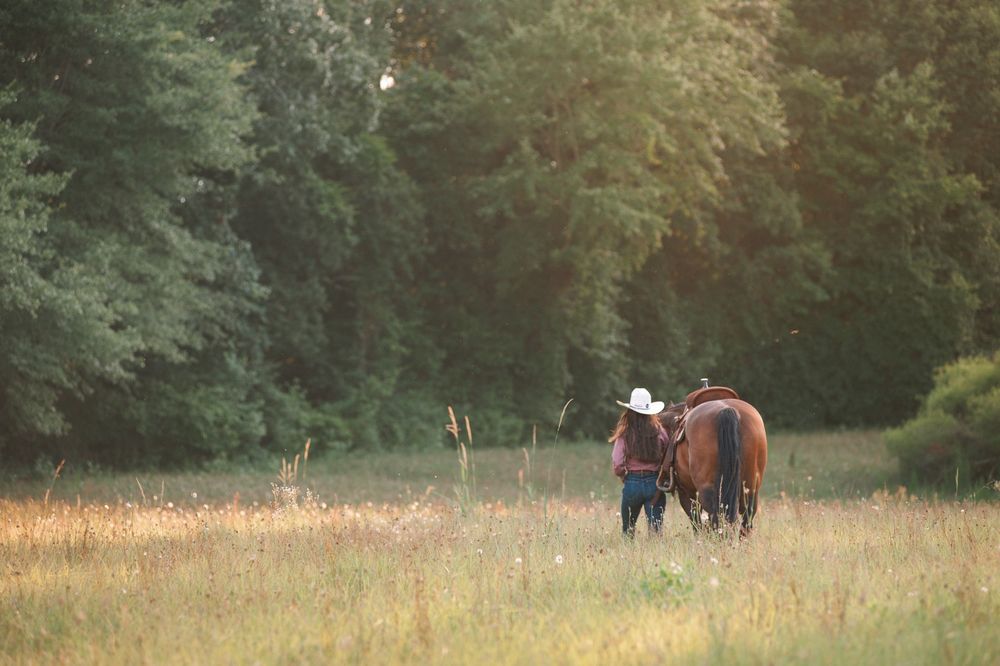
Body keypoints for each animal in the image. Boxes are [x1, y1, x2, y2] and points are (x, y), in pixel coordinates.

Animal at [656, 396, 767, 535]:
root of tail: (727, 410)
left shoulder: (686, 493)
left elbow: (697, 524)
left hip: (707, 491)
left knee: (716, 519)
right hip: (750, 489)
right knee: (745, 521)